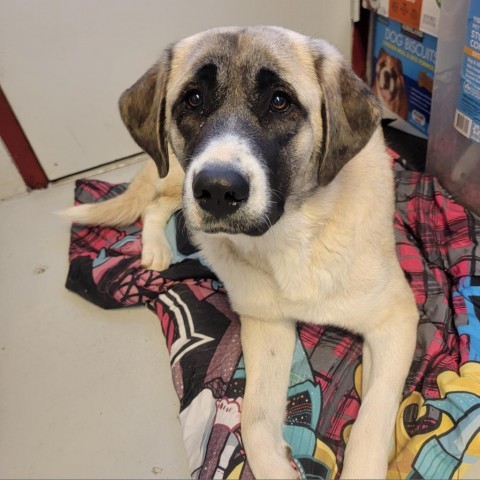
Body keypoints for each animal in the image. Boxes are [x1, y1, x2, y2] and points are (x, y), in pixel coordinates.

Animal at [64, 26, 420, 480]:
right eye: (193, 99)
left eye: (280, 101)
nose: (217, 190)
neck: (290, 236)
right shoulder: (266, 325)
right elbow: (253, 419)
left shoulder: (396, 320)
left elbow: (372, 418)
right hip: (175, 174)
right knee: (155, 204)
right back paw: (156, 251)